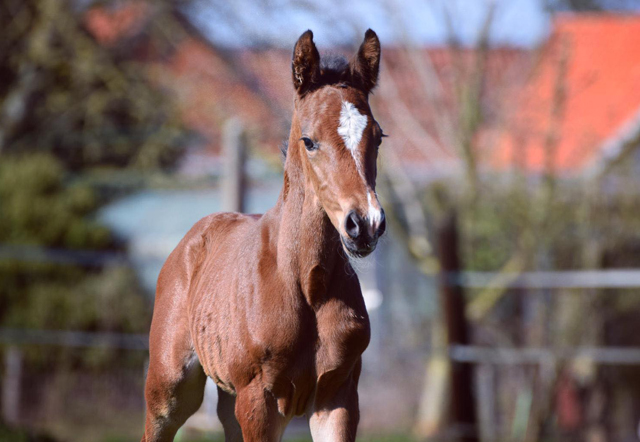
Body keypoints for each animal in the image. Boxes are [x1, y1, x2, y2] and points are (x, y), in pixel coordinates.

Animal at [142, 29, 384, 440]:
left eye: (379, 138)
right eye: (309, 140)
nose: (365, 223)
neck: (306, 284)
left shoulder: (338, 397)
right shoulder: (259, 401)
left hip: (228, 401)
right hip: (169, 389)